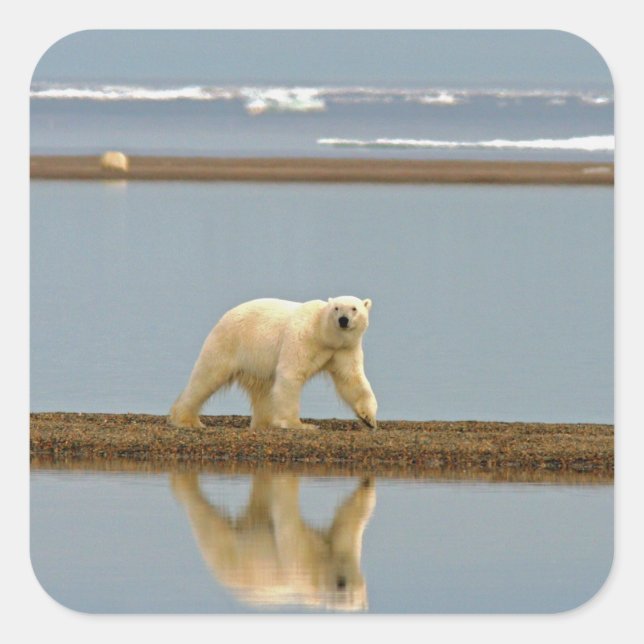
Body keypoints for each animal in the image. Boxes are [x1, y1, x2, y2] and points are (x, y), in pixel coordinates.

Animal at [169, 296, 377, 430]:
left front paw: (369, 418)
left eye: (354, 308)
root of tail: (224, 317)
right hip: (229, 342)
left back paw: (265, 423)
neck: (323, 335)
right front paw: (299, 424)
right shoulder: (302, 338)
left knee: (263, 389)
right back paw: (187, 420)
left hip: (256, 361)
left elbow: (351, 379)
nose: (343, 320)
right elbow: (290, 374)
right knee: (206, 377)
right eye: (336, 308)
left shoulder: (344, 349)